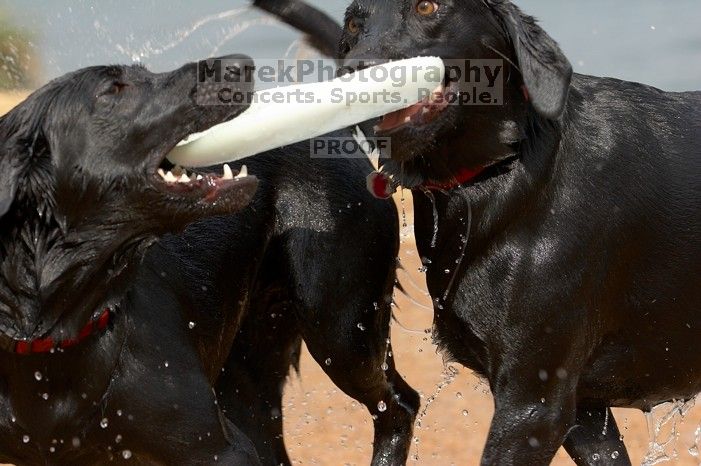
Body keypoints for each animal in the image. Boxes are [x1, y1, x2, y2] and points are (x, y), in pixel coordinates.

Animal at [330, 0, 700, 466]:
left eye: (427, 6)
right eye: (353, 24)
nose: (352, 73)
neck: (503, 170)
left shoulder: (533, 404)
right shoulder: (583, 410)